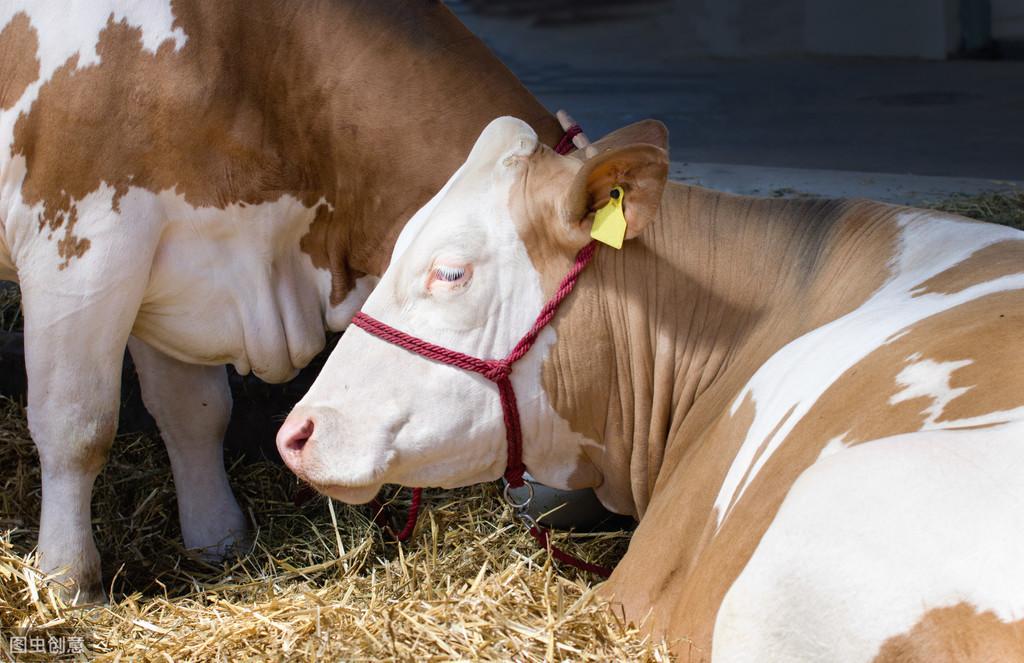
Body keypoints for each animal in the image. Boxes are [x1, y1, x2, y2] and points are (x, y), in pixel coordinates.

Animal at [0, 1, 581, 602]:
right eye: (451, 273)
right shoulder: (81, 247)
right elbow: (77, 426)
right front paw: (69, 581)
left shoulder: (175, 267)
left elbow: (195, 414)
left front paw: (220, 540)